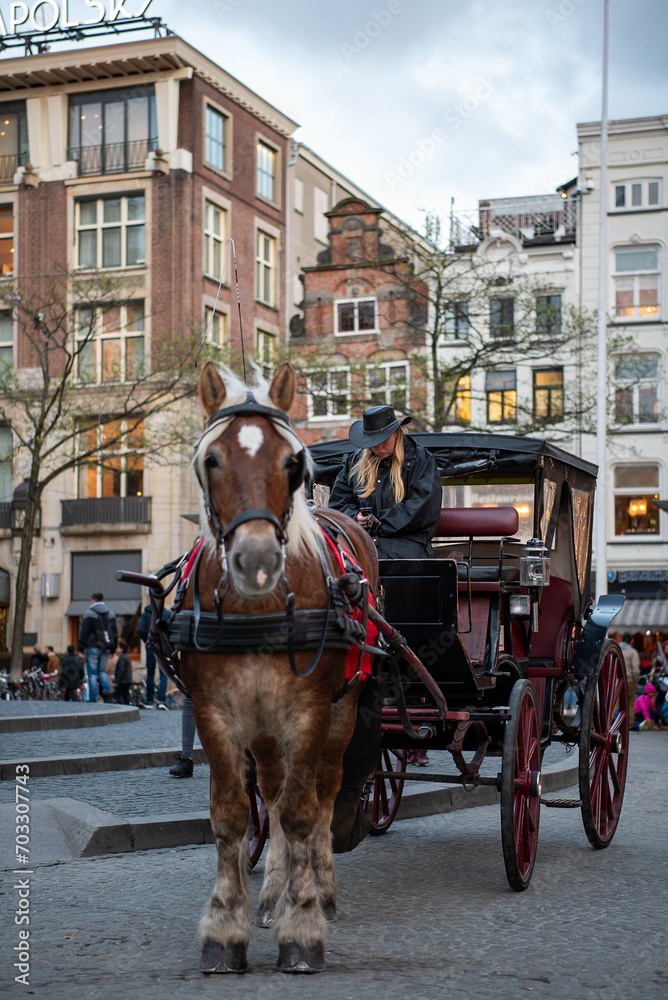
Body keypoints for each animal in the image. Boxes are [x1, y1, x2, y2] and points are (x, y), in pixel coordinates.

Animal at [180, 362, 378, 976]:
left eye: (292, 463)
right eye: (211, 460)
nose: (259, 561)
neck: (258, 610)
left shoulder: (310, 710)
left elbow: (301, 813)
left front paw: (304, 926)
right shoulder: (213, 711)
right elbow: (232, 815)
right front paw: (227, 928)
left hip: (344, 707)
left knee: (321, 791)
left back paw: (320, 887)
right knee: (270, 789)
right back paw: (271, 892)